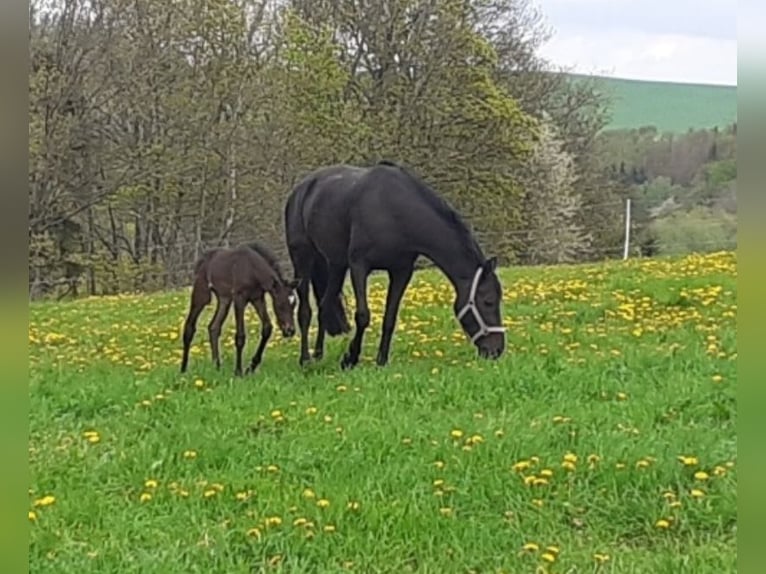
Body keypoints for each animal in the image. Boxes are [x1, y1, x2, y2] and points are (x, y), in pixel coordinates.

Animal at [182, 240, 298, 378]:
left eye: (294, 304)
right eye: (280, 304)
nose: (290, 331)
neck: (252, 269)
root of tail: (202, 259)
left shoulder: (257, 298)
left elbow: (267, 327)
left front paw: (251, 367)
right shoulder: (239, 299)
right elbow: (240, 336)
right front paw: (238, 371)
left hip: (225, 299)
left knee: (214, 327)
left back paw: (216, 366)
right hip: (202, 293)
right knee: (189, 327)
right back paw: (183, 369)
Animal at [284, 160, 508, 372]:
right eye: (488, 301)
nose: (496, 350)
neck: (393, 210)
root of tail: (302, 189)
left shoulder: (401, 272)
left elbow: (390, 318)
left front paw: (381, 361)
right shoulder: (359, 266)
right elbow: (363, 316)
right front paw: (350, 358)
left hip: (336, 265)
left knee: (324, 306)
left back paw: (318, 354)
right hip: (303, 258)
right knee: (305, 311)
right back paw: (305, 359)